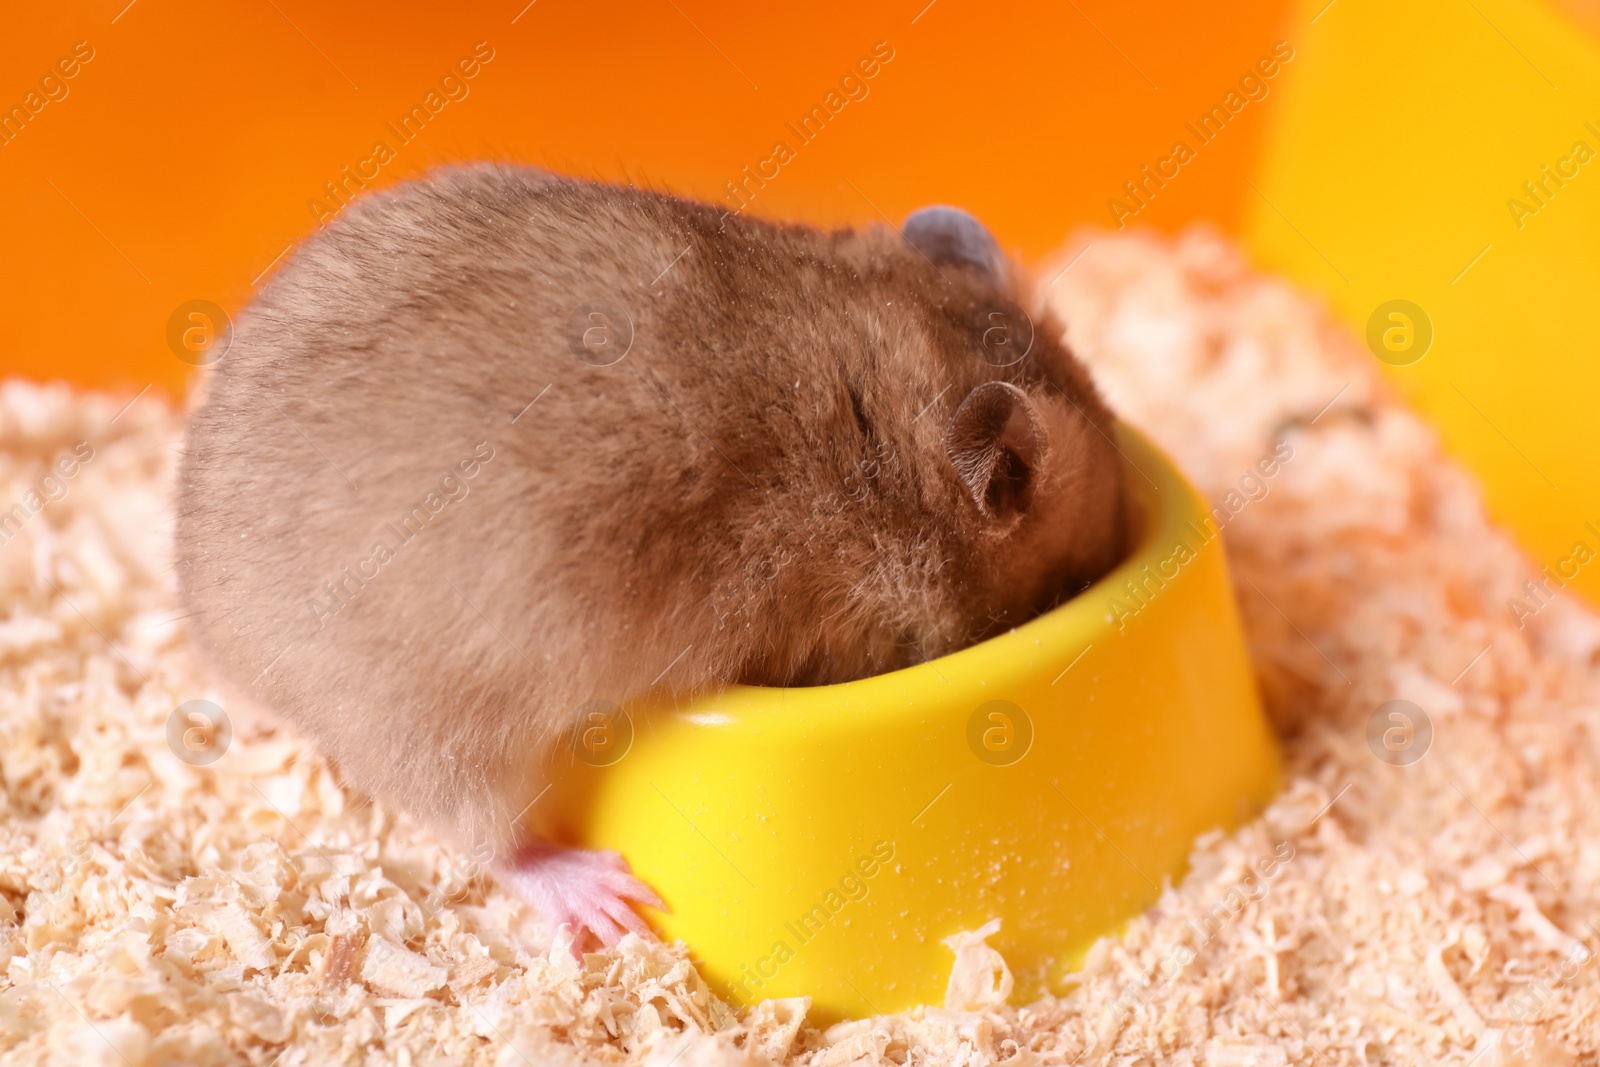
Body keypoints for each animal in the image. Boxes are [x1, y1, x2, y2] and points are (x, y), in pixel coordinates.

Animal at [175, 163, 1126, 947]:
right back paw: (606, 898)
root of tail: (215, 630)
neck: (883, 415)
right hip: (441, 725)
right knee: (489, 838)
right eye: (1075, 575)